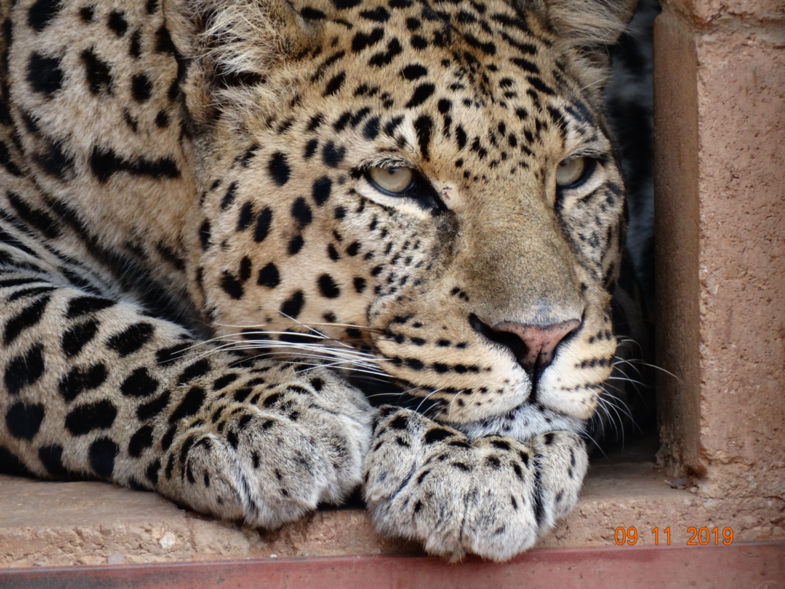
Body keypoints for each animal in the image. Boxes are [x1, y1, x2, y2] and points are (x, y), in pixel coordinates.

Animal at [0, 0, 639, 562]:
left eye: (574, 171)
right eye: (395, 179)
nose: (540, 339)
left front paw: (472, 463)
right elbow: (79, 336)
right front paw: (271, 416)